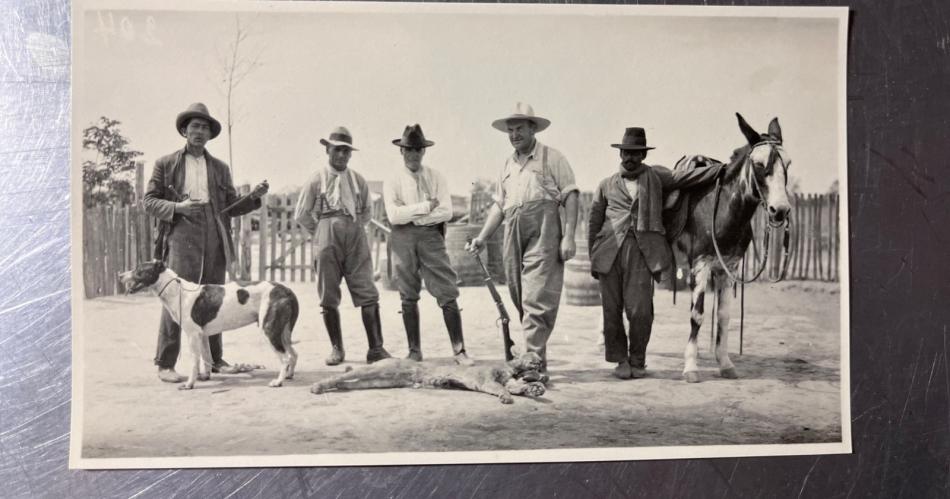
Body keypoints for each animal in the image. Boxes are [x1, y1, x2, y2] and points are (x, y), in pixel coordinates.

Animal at [119, 262, 300, 390]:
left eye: (139, 270)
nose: (120, 275)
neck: (177, 291)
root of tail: (287, 290)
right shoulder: (203, 335)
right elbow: (206, 358)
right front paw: (204, 377)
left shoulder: (192, 335)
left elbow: (194, 361)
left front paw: (189, 384)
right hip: (283, 332)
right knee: (293, 354)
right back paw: (289, 375)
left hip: (270, 330)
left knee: (285, 358)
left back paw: (278, 381)